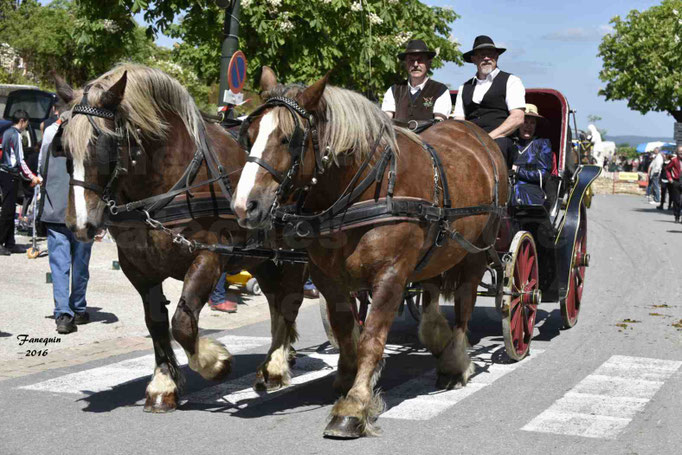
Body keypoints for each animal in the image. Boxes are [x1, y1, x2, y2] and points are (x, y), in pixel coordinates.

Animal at [53, 65, 306, 414]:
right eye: (64, 149)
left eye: (102, 146)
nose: (79, 225)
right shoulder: (138, 267)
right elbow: (157, 323)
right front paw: (164, 384)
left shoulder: (209, 255)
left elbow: (183, 323)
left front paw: (215, 363)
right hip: (265, 261)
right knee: (276, 303)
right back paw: (277, 359)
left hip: (295, 257)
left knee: (290, 300)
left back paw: (277, 365)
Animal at [231, 67, 508, 438]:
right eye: (248, 135)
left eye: (288, 139)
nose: (244, 206)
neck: (367, 188)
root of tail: (477, 135)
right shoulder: (326, 276)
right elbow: (345, 327)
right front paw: (346, 376)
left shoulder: (390, 275)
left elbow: (372, 338)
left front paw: (355, 405)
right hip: (440, 250)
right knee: (432, 289)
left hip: (478, 250)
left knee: (465, 302)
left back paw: (454, 362)